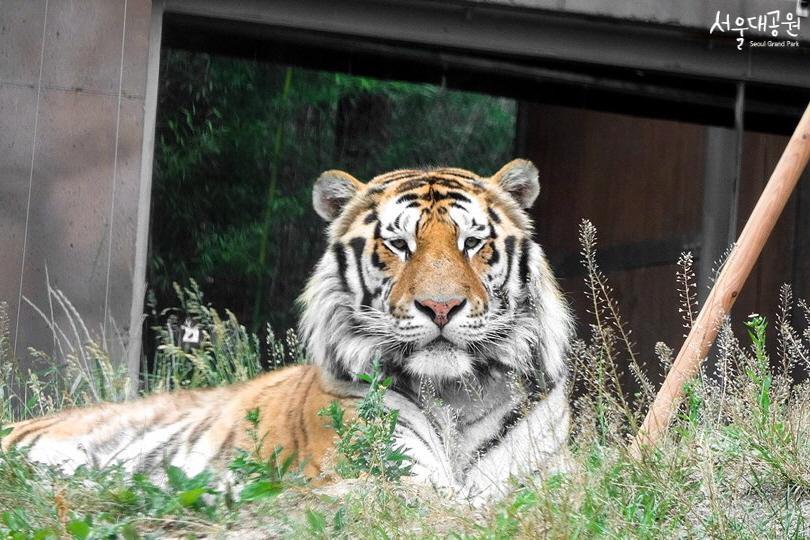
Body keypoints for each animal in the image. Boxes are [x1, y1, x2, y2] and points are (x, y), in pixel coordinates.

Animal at [0, 158, 572, 500]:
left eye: (472, 243)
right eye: (399, 245)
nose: (440, 306)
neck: (454, 395)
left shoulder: (546, 478)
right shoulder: (381, 472)